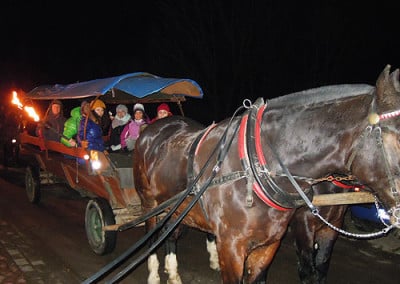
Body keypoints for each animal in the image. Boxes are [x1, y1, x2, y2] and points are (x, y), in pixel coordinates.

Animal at [133, 65, 398, 282]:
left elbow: (316, 268)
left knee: (170, 235)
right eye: (395, 138)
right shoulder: (234, 245)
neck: (254, 168)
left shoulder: (274, 243)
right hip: (149, 203)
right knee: (152, 235)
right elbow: (306, 270)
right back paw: (154, 274)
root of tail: (154, 129)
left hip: (176, 208)